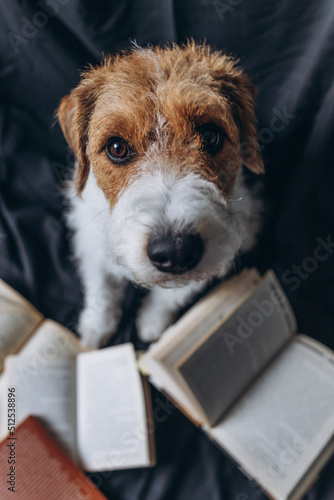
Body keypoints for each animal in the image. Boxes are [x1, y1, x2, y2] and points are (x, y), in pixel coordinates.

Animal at [57, 42, 264, 348]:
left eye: (210, 136)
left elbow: (171, 296)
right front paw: (95, 329)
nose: (176, 250)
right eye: (117, 147)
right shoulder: (91, 243)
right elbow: (101, 290)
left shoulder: (218, 253)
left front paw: (152, 324)